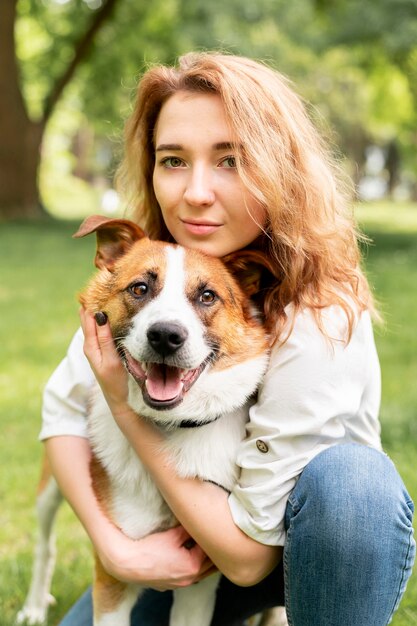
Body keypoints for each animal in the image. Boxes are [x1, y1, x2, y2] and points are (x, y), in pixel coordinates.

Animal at [17, 216, 282, 624]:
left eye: (207, 297)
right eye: (140, 288)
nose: (166, 336)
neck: (169, 427)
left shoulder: (200, 583)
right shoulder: (114, 571)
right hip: (51, 485)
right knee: (45, 544)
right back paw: (33, 606)